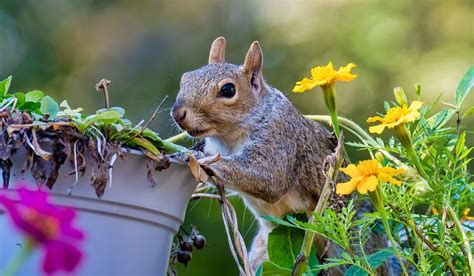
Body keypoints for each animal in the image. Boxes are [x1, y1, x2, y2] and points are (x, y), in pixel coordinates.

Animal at [170, 37, 392, 276]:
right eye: (185, 78)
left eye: (228, 90)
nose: (178, 113)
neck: (228, 139)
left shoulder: (279, 138)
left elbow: (266, 178)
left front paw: (190, 156)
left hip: (351, 246)